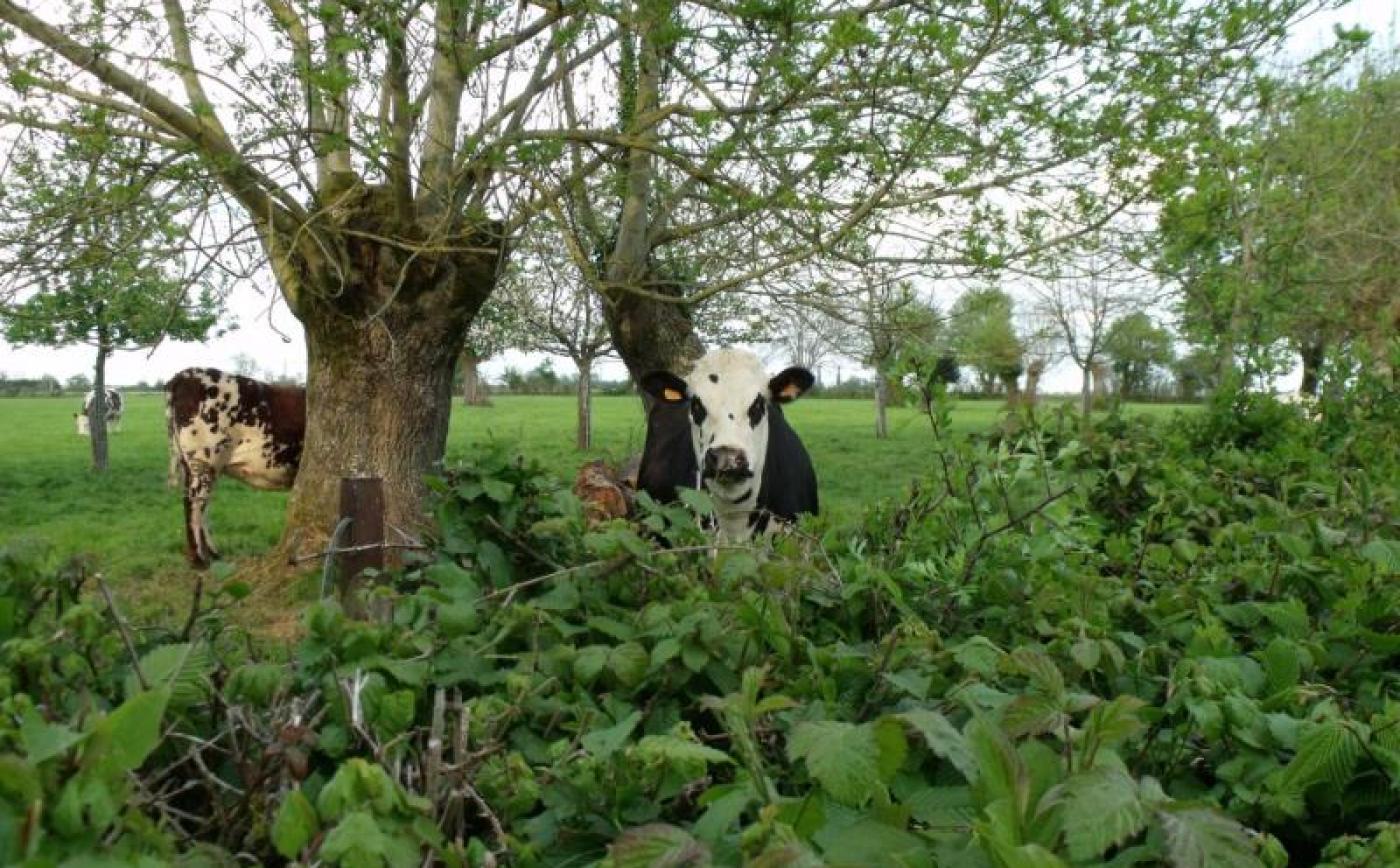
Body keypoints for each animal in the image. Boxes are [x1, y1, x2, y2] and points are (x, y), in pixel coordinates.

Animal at [165, 366, 305, 565]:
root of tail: (186, 374)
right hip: (204, 460)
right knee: (193, 502)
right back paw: (199, 558)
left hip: (198, 465)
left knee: (202, 504)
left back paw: (213, 554)